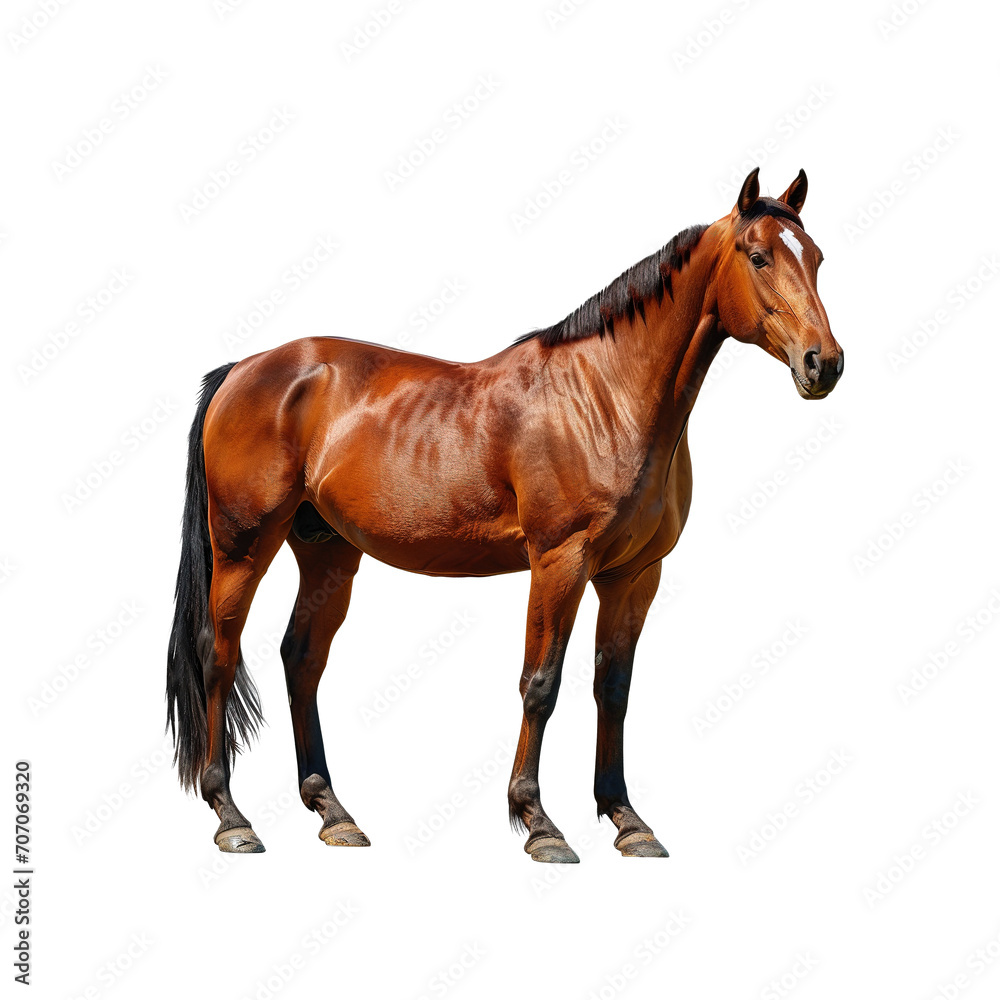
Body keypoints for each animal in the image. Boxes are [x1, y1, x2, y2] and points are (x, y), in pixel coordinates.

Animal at [166, 168, 843, 862]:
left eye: (817, 258)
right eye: (758, 257)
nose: (824, 363)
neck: (606, 395)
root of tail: (243, 370)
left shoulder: (633, 576)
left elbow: (614, 689)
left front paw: (627, 820)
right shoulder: (559, 562)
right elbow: (540, 684)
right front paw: (539, 822)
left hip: (327, 550)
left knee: (301, 658)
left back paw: (334, 813)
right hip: (243, 546)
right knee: (217, 653)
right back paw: (231, 815)